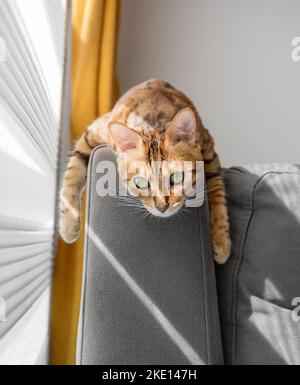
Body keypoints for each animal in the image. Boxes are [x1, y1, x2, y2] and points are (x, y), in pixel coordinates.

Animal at [59, 79, 231, 262]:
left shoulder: (208, 148)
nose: (162, 207)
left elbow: (218, 194)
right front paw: (69, 225)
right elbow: (72, 172)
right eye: (140, 183)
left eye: (177, 178)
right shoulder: (94, 133)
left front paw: (221, 242)